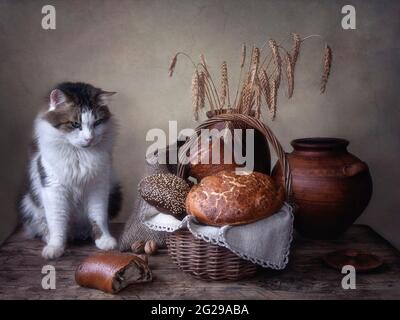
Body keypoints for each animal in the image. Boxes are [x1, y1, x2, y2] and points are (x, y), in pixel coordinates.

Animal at [19, 82, 122, 260]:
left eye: (97, 123)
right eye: (75, 124)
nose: (89, 138)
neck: (79, 155)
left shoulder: (98, 186)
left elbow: (98, 217)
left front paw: (104, 241)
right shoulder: (54, 189)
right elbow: (57, 223)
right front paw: (55, 247)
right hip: (29, 205)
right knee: (42, 226)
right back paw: (52, 238)